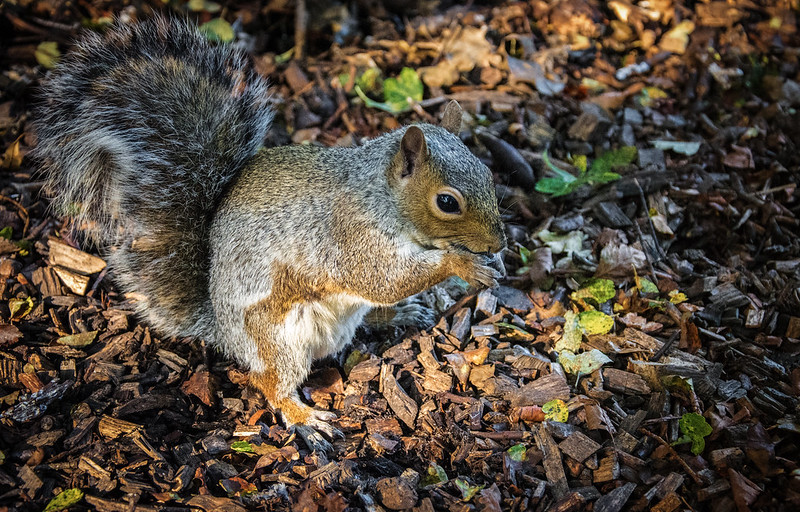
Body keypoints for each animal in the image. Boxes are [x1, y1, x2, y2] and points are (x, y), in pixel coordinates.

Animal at [34, 16, 506, 450]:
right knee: (269, 383)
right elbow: (380, 278)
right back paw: (304, 417)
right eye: (447, 202)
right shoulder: (350, 235)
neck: (381, 196)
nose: (499, 242)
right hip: (277, 337)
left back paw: (397, 315)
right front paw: (462, 263)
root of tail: (222, 331)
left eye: (488, 174)